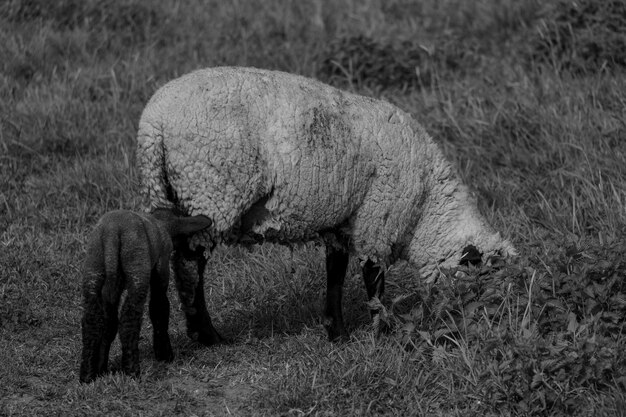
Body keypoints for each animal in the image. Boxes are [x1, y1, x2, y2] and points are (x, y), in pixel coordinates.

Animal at [79, 206, 211, 382]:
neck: (162, 223)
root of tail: (111, 233)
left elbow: (109, 323)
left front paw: (101, 367)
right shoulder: (162, 263)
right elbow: (159, 307)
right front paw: (165, 355)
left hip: (93, 266)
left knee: (93, 321)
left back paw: (87, 375)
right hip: (137, 264)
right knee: (129, 320)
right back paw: (132, 371)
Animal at [136, 66, 516, 342]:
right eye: (483, 283)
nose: (496, 325)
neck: (426, 211)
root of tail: (153, 121)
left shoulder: (343, 221)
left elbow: (336, 272)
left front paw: (337, 332)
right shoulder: (378, 217)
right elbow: (373, 277)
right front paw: (383, 331)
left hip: (178, 196)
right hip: (210, 190)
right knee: (188, 265)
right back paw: (208, 335)